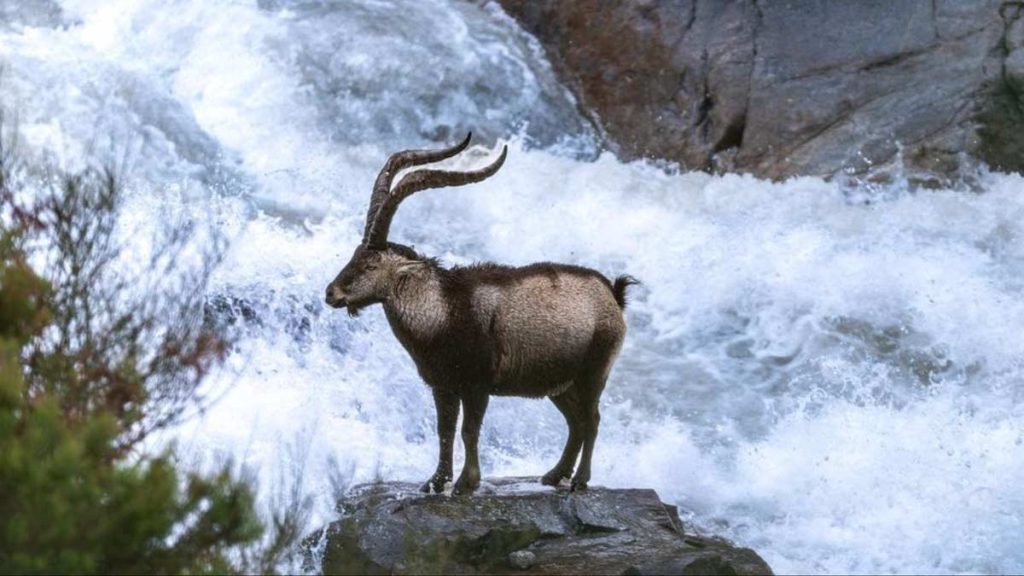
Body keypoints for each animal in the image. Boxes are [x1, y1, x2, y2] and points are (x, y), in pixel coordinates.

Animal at [325, 134, 636, 494]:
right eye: (354, 255)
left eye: (371, 265)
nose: (331, 293)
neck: (443, 309)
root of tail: (612, 294)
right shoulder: (443, 385)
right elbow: (444, 431)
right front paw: (435, 482)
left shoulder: (477, 385)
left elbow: (468, 431)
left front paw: (465, 483)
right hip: (559, 383)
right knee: (575, 421)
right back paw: (553, 475)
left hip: (594, 371)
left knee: (592, 419)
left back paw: (580, 481)